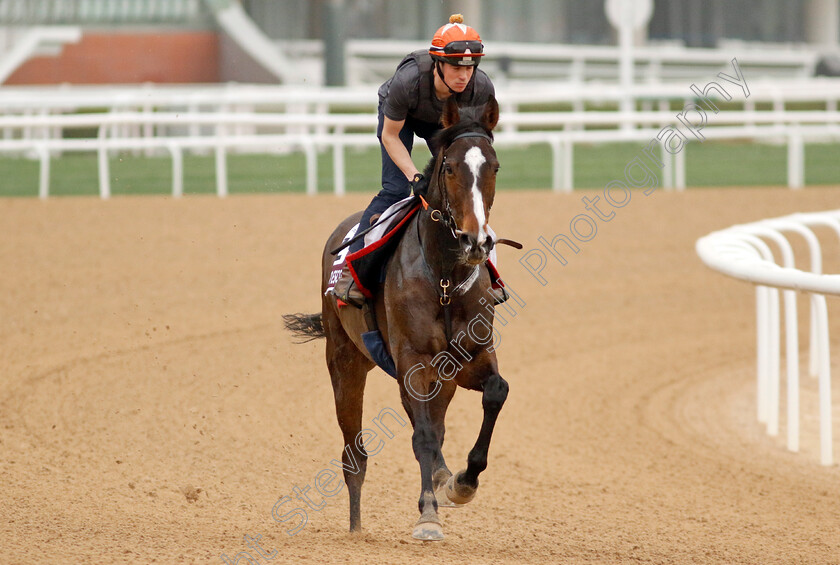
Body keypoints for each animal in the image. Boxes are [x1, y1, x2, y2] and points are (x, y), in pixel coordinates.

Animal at [284, 97, 506, 540]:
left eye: (493, 167)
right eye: (449, 168)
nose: (477, 241)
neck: (443, 277)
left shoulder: (469, 358)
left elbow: (495, 391)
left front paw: (462, 482)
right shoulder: (413, 361)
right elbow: (422, 437)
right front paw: (428, 516)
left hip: (437, 375)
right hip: (345, 360)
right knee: (355, 453)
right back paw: (356, 527)